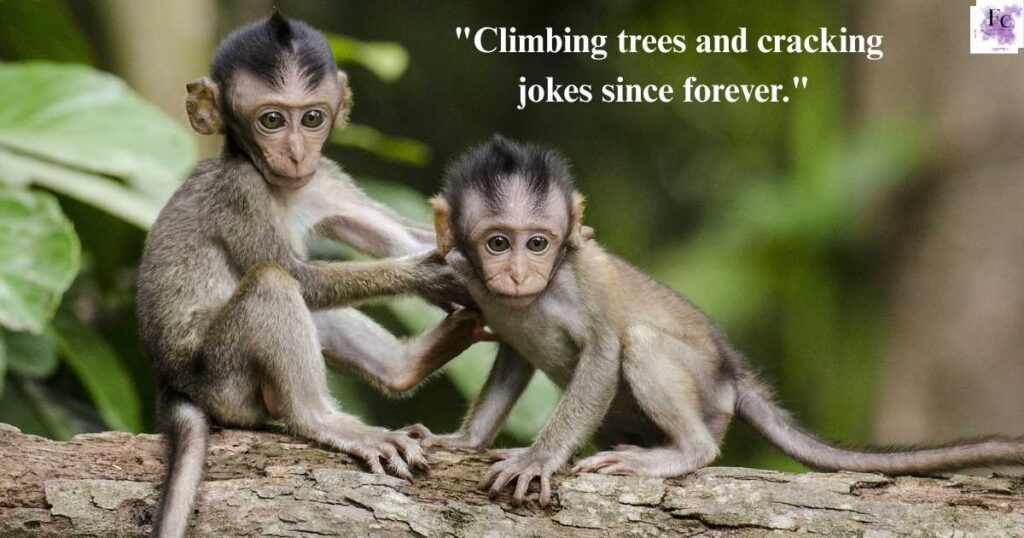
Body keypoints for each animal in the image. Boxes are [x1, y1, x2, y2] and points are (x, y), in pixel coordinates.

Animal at [139, 14, 485, 538]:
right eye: (272, 120)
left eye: (312, 118)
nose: (297, 154)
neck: (280, 187)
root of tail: (171, 383)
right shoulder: (240, 191)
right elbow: (300, 278)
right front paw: (429, 275)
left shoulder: (325, 179)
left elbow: (401, 237)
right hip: (223, 380)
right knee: (272, 284)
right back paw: (321, 420)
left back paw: (405, 366)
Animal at [405, 135, 1024, 507]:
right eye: (498, 243)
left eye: (538, 243)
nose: (517, 274)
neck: (528, 299)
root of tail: (732, 372)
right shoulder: (476, 287)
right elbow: (512, 356)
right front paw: (462, 441)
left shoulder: (577, 281)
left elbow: (604, 351)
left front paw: (538, 458)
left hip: (707, 392)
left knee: (642, 344)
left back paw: (685, 452)